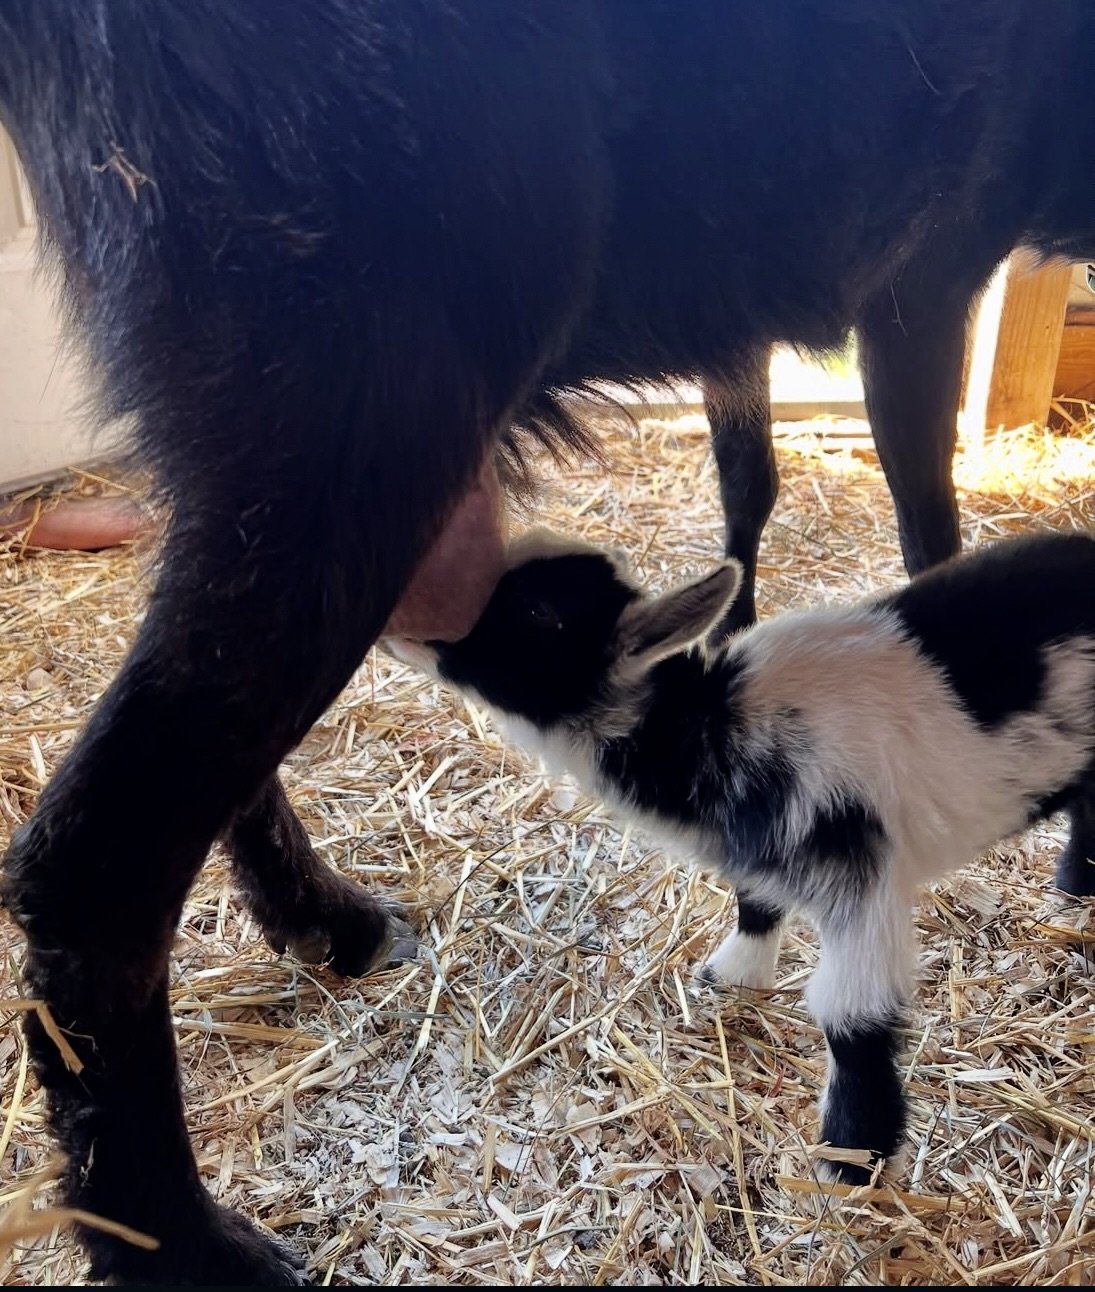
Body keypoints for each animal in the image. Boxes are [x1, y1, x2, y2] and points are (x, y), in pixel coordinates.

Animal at [396, 528, 1095, 1180]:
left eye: (537, 612)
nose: (410, 621)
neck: (710, 726)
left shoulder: (857, 872)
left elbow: (853, 1014)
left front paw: (852, 1159)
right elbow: (755, 901)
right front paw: (734, 973)